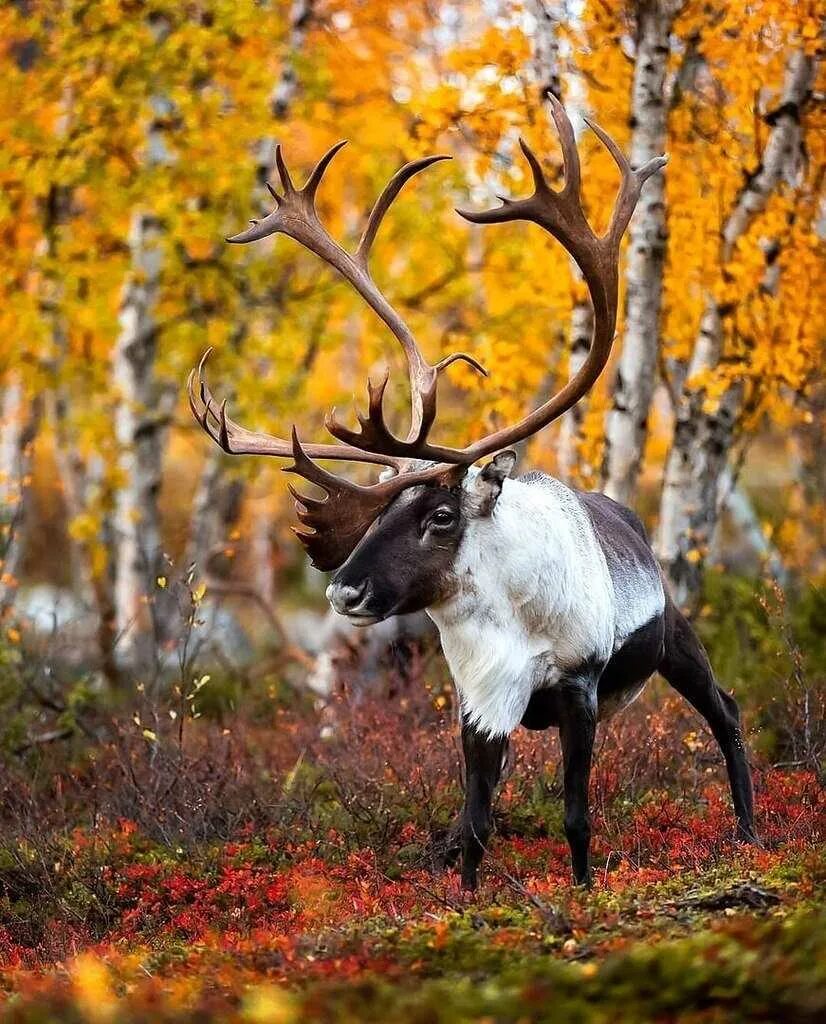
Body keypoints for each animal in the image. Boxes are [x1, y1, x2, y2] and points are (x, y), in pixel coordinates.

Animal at [189, 97, 758, 890]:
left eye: (440, 514)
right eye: (378, 510)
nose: (344, 592)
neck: (504, 626)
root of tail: (628, 513)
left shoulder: (579, 688)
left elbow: (576, 816)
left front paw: (583, 894)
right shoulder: (478, 707)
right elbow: (475, 825)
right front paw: (470, 902)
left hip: (676, 633)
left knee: (727, 710)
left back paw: (749, 832)